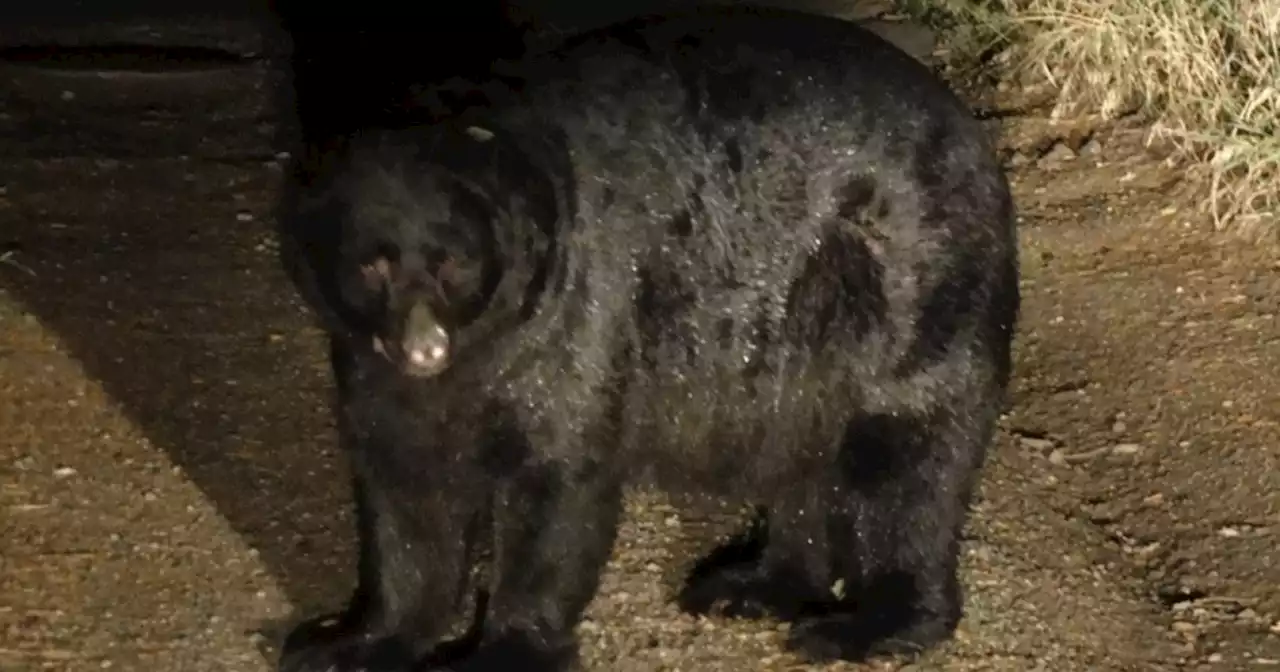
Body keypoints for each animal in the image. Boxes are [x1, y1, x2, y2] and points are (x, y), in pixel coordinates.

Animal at [272, 6, 1018, 670]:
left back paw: (872, 624)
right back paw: (756, 583)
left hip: (905, 275)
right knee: (804, 452)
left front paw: (504, 648)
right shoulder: (371, 368)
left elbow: (555, 479)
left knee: (908, 451)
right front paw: (349, 640)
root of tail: (972, 132)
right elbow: (405, 493)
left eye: (452, 260)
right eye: (371, 266)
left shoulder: (573, 308)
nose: (423, 349)